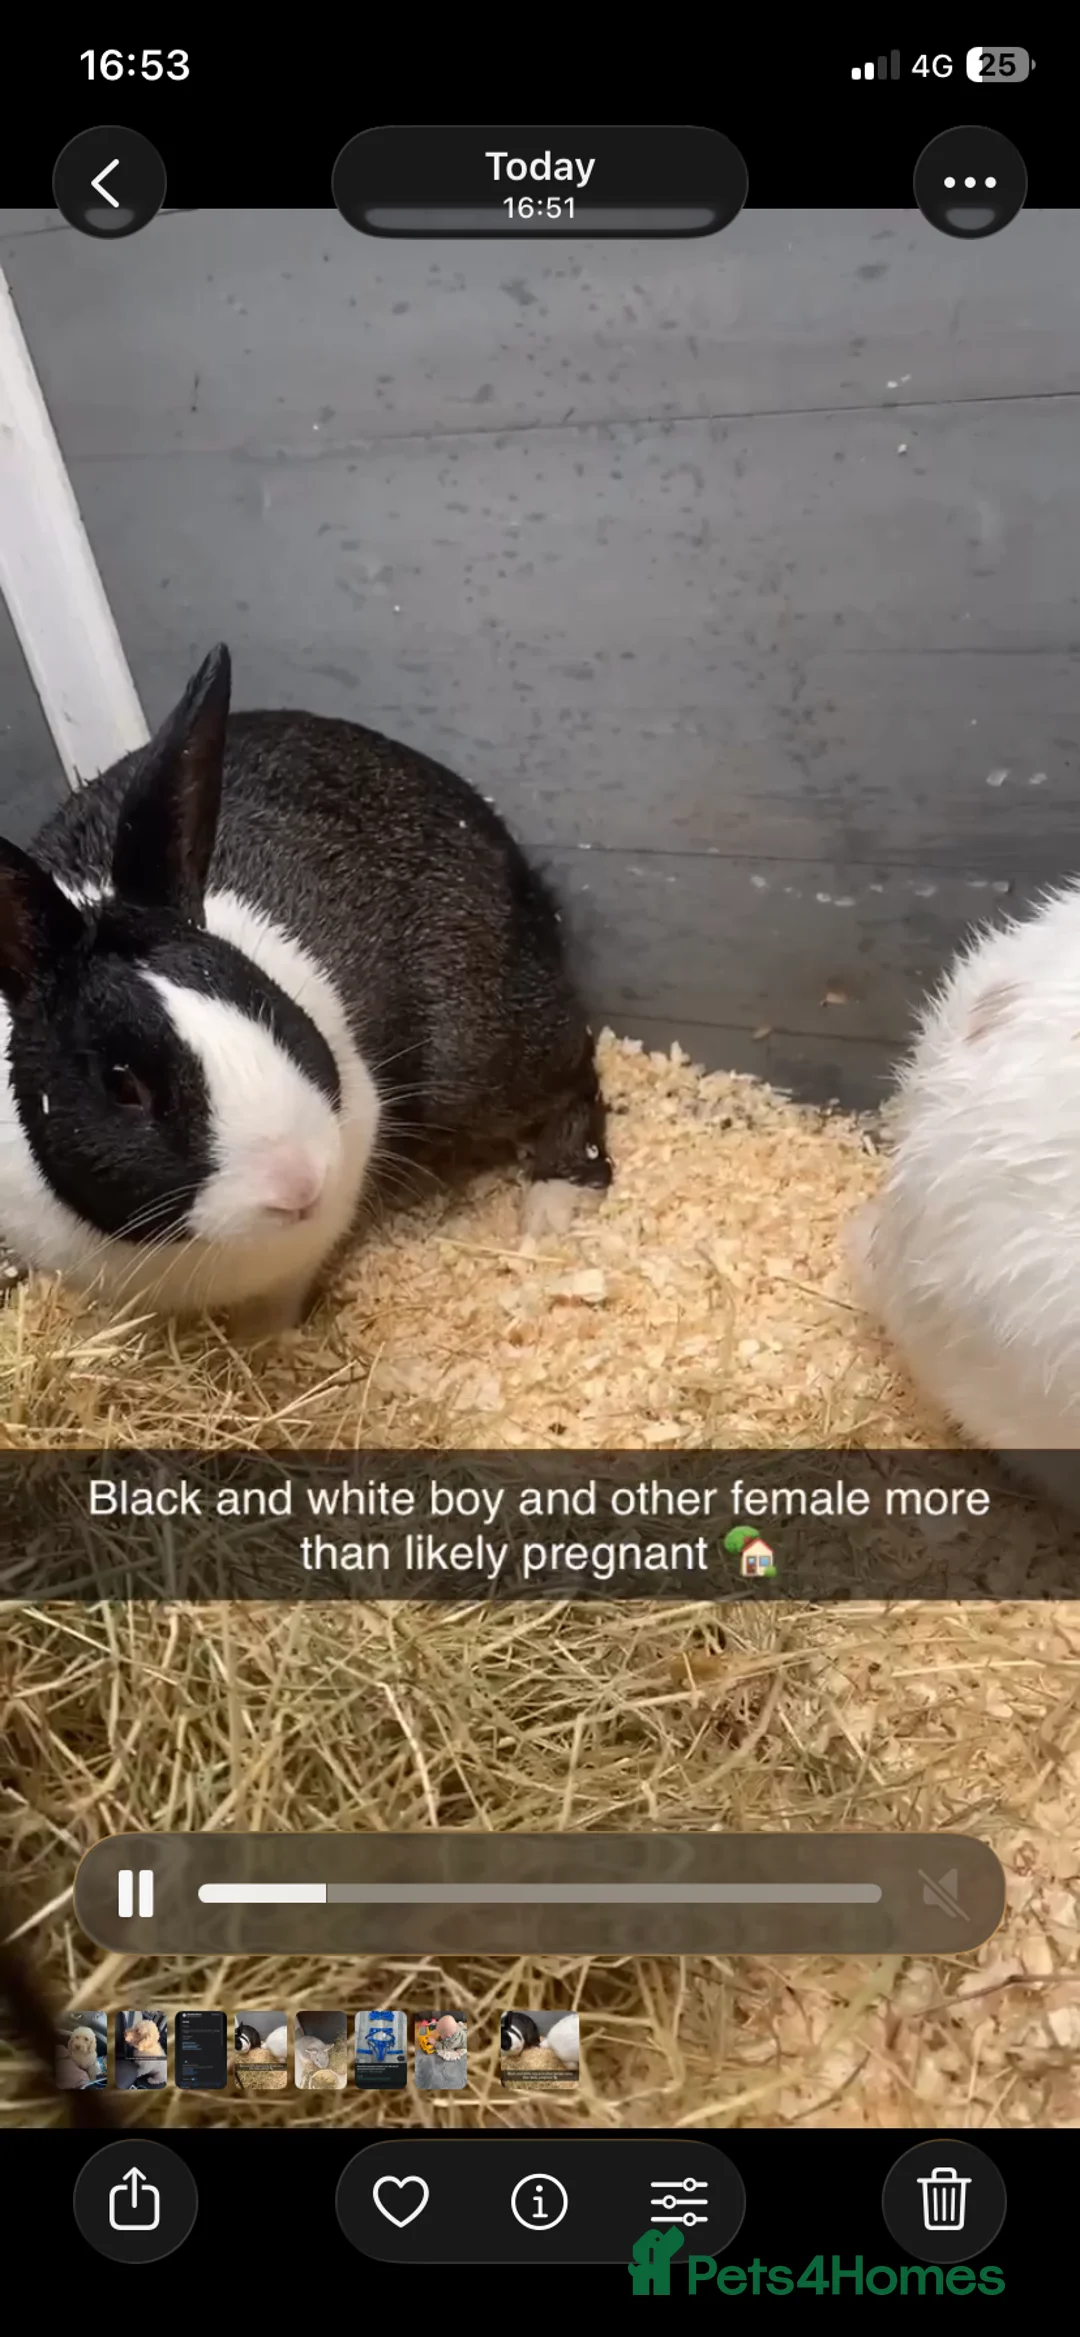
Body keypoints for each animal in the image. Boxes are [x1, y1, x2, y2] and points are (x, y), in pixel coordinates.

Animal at [0, 645, 612, 1342]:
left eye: (262, 1000)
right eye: (122, 1085)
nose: (298, 1184)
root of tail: (518, 865)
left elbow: (276, 1308)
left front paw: (267, 1349)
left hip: (480, 1059)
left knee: (575, 1070)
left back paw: (553, 1203)